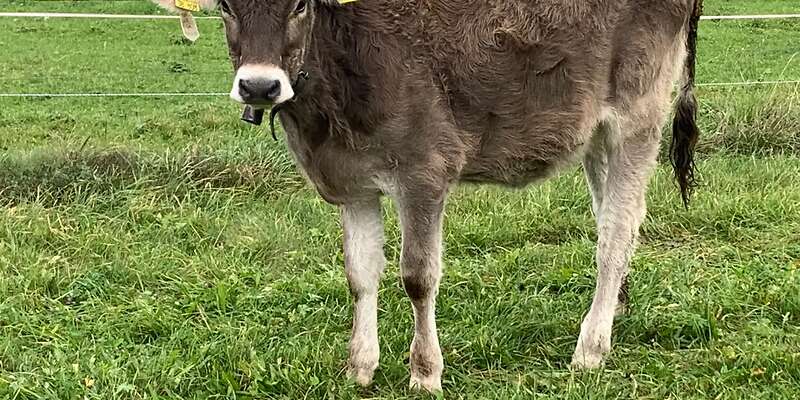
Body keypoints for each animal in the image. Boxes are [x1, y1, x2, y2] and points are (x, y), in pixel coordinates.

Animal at [155, 0, 703, 392]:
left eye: (300, 4)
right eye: (226, 4)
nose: (259, 86)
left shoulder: (425, 171)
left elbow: (418, 278)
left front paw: (424, 372)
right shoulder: (353, 186)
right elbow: (359, 275)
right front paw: (360, 365)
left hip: (637, 113)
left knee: (618, 231)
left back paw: (590, 348)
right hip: (594, 132)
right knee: (610, 214)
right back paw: (614, 314)